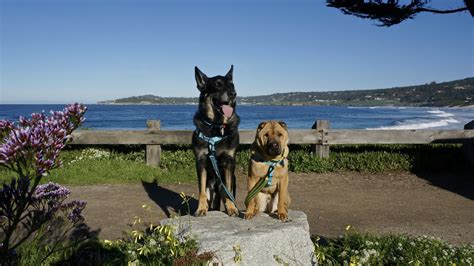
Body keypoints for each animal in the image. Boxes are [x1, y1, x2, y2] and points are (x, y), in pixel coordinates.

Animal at [192, 65, 241, 217]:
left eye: (232, 85)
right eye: (218, 85)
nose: (233, 93)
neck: (216, 127)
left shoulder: (229, 161)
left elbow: (228, 190)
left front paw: (232, 208)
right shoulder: (200, 161)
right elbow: (201, 190)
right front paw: (201, 208)